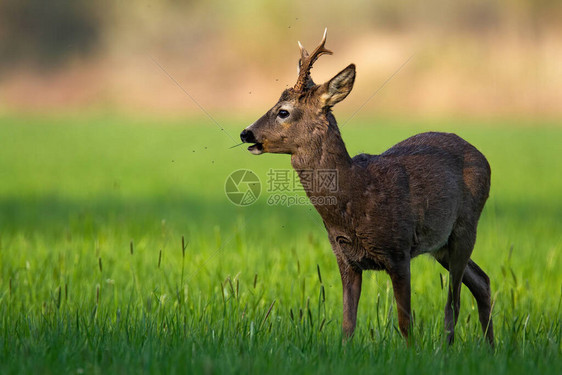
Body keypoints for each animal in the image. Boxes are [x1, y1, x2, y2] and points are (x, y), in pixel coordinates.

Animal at [238, 30, 492, 348]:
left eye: (283, 111)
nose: (246, 133)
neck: (357, 194)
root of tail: (484, 158)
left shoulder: (398, 250)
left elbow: (405, 322)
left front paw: (413, 353)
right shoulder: (345, 258)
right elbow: (348, 323)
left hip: (465, 227)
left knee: (454, 302)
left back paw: (448, 349)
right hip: (442, 245)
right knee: (482, 281)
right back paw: (490, 348)